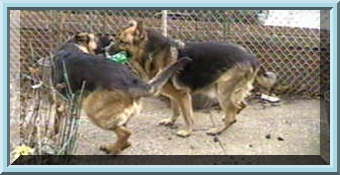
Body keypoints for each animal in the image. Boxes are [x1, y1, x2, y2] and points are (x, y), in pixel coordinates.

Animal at [51, 32, 190, 154]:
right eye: (98, 36)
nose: (111, 36)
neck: (74, 46)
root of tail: (133, 82)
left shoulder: (59, 104)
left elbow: (56, 125)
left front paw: (54, 138)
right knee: (126, 137)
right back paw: (114, 147)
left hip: (94, 112)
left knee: (126, 133)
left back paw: (113, 149)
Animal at [117, 20, 274, 137]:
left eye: (122, 42)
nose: (109, 48)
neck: (151, 52)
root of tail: (252, 58)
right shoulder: (175, 95)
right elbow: (175, 110)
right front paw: (170, 121)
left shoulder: (182, 95)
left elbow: (187, 116)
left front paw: (187, 132)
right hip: (230, 91)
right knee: (240, 105)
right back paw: (226, 119)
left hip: (222, 91)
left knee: (233, 112)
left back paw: (218, 130)